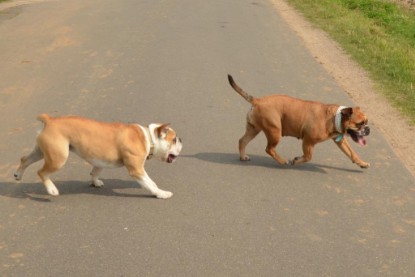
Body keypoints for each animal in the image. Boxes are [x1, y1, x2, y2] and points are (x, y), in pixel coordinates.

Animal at [13, 113, 183, 197]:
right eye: (174, 139)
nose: (181, 140)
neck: (148, 137)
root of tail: (50, 120)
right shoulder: (137, 170)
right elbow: (150, 183)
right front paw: (161, 193)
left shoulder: (101, 161)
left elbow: (94, 172)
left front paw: (95, 182)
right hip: (58, 157)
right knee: (41, 172)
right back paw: (51, 190)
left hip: (42, 152)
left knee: (25, 159)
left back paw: (18, 175)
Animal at [229, 74, 372, 167]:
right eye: (360, 124)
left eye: (367, 122)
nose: (368, 129)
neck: (335, 117)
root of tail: (258, 100)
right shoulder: (308, 141)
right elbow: (308, 157)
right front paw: (296, 160)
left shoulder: (341, 141)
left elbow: (352, 153)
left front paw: (362, 163)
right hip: (275, 131)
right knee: (269, 149)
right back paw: (282, 161)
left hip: (254, 129)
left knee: (243, 141)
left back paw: (243, 157)